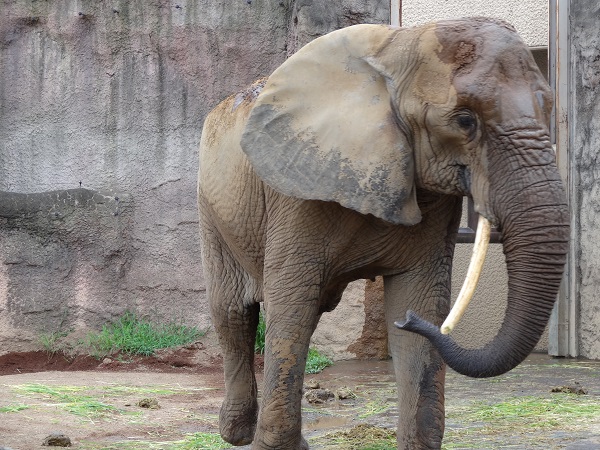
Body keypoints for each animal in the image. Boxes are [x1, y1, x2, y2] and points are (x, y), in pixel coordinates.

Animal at [197, 16, 568, 450]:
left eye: (549, 108)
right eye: (464, 120)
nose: (408, 321)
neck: (399, 48)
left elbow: (419, 296)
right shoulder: (296, 189)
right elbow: (292, 305)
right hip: (212, 207)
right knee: (232, 313)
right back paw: (236, 433)